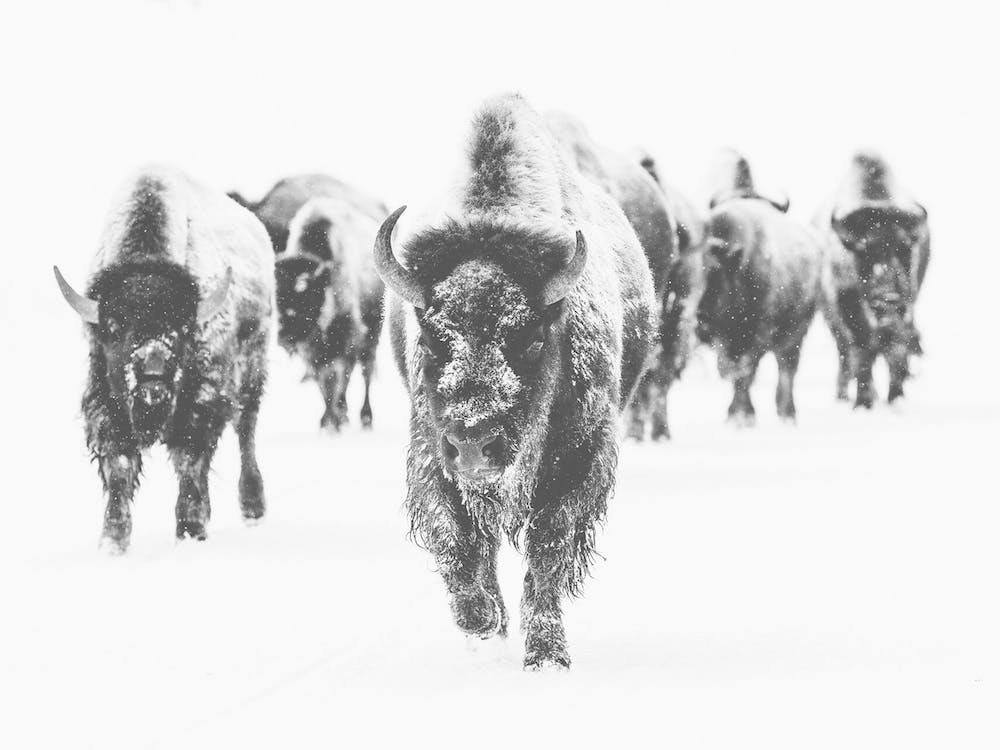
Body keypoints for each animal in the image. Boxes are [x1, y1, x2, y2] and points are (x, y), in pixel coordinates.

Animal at [54, 166, 274, 553]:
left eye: (183, 328)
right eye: (114, 328)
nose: (153, 383)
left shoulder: (201, 406)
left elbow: (190, 463)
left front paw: (190, 531)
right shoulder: (106, 407)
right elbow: (120, 468)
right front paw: (113, 541)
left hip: (253, 373)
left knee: (246, 432)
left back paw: (253, 509)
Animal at [276, 197, 386, 430]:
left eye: (305, 295)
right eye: (275, 294)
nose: (282, 336)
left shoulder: (346, 340)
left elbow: (338, 379)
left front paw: (334, 420)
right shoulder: (313, 351)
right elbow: (322, 382)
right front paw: (328, 420)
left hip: (372, 334)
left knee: (366, 371)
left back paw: (365, 417)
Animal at [377, 94, 656, 670]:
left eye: (529, 336)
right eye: (431, 336)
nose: (474, 444)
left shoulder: (582, 460)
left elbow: (548, 547)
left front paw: (547, 655)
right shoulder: (431, 454)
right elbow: (457, 540)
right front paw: (482, 624)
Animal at [697, 151, 822, 424]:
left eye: (714, 273)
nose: (699, 317)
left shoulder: (757, 335)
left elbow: (746, 372)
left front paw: (742, 416)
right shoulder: (724, 340)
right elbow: (734, 370)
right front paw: (736, 414)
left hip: (797, 332)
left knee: (787, 369)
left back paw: (787, 413)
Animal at [815, 152, 930, 406]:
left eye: (905, 248)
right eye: (863, 251)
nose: (888, 299)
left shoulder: (905, 311)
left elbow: (896, 351)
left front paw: (896, 397)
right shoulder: (848, 312)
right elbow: (862, 352)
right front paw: (863, 402)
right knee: (846, 354)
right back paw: (845, 396)